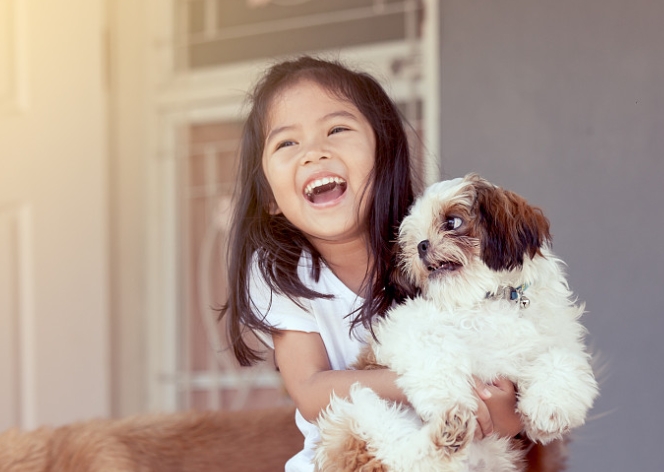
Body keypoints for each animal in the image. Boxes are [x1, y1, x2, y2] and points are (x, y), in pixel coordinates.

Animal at [314, 173, 600, 472]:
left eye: (452, 223)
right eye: (412, 238)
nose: (421, 245)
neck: (491, 299)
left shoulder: (558, 340)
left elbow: (561, 360)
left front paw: (551, 408)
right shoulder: (406, 326)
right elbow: (436, 348)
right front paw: (449, 397)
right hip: (357, 409)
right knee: (403, 453)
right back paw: (448, 430)